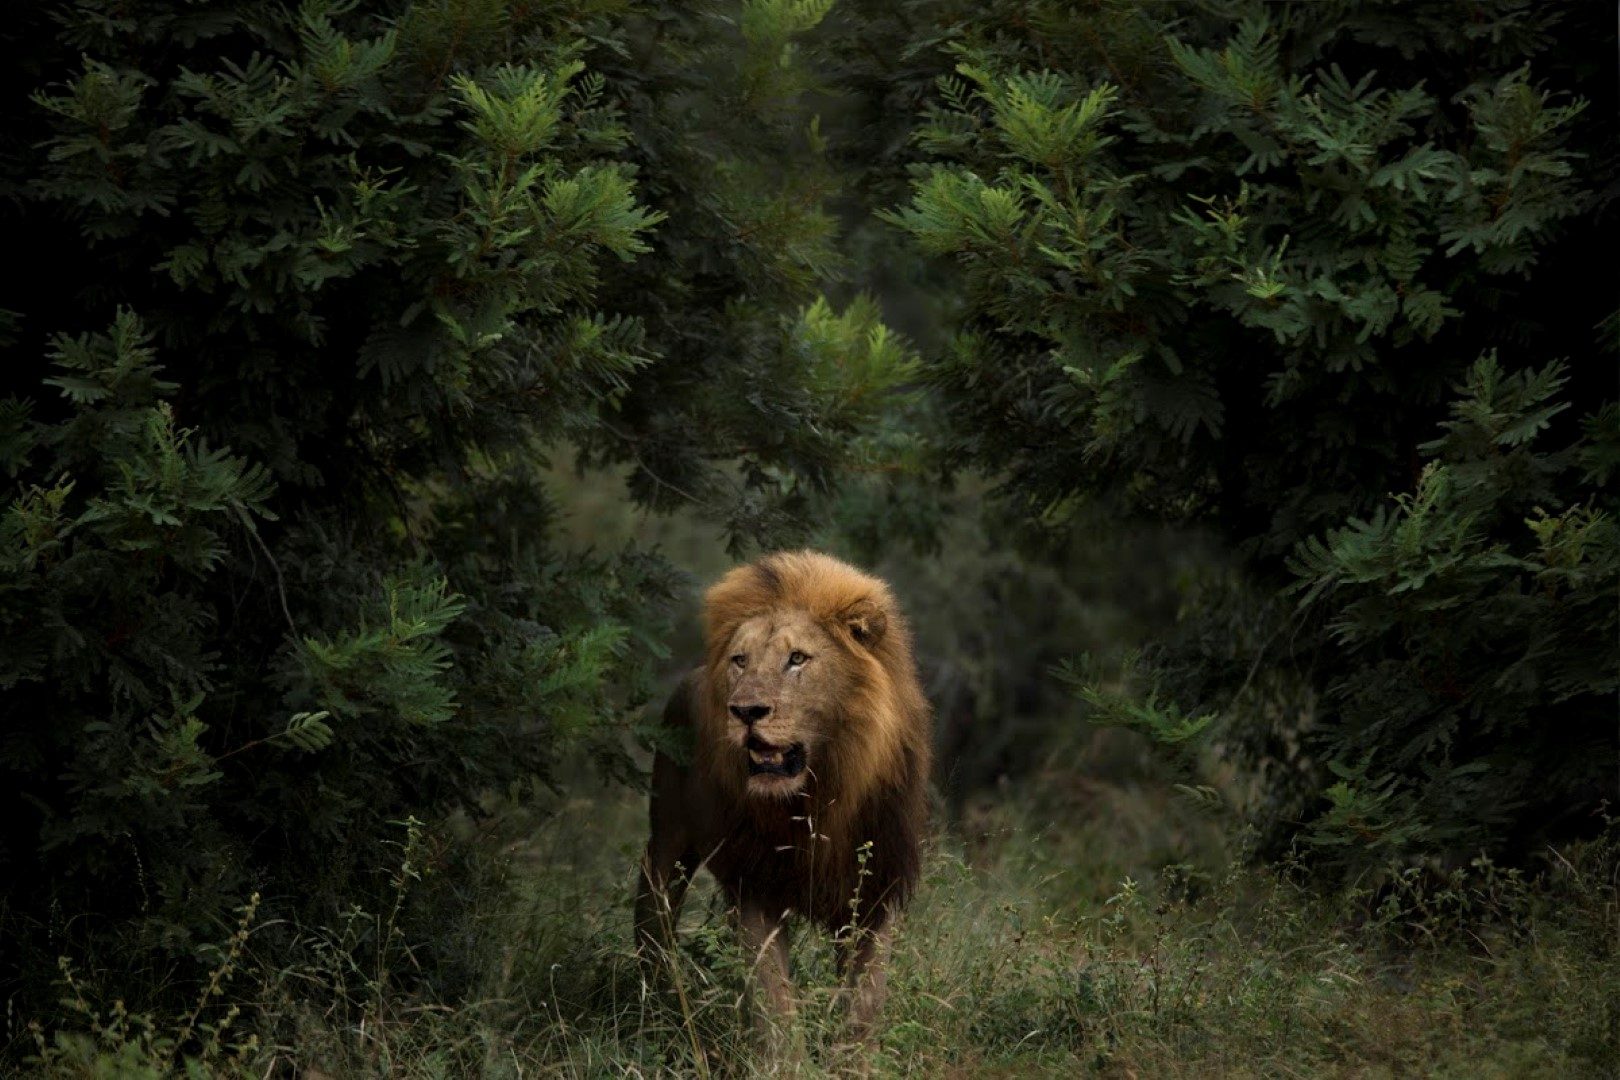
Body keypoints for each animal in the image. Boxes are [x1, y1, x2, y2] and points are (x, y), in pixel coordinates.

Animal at [635, 553, 933, 1042]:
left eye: (797, 659)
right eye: (740, 660)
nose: (745, 712)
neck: (818, 795)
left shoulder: (876, 888)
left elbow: (863, 1005)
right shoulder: (755, 886)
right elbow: (773, 1003)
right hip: (667, 843)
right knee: (653, 925)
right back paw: (658, 1008)